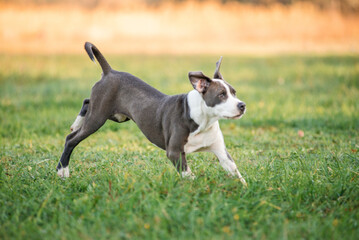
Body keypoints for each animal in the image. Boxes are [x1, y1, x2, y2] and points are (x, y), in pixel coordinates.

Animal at [57, 42, 248, 186]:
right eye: (221, 95)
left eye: (234, 93)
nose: (242, 105)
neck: (204, 120)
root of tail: (110, 71)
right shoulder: (174, 152)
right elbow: (189, 175)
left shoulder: (221, 151)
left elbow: (235, 171)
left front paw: (244, 189)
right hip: (98, 117)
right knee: (71, 139)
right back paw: (62, 171)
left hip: (116, 115)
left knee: (86, 101)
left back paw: (77, 122)